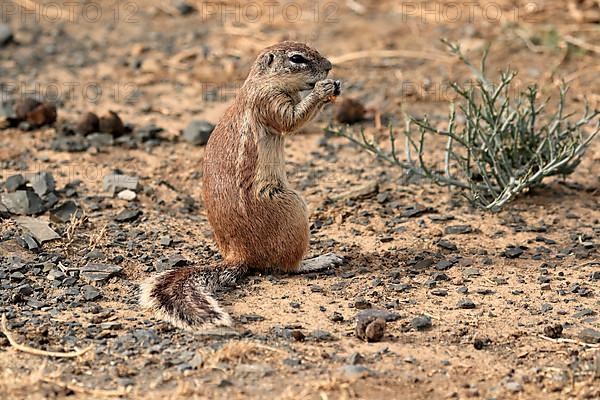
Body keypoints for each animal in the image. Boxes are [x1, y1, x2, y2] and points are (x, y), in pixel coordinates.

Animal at [140, 41, 342, 332]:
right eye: (297, 58)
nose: (329, 67)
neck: (261, 81)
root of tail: (239, 255)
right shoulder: (268, 102)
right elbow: (291, 120)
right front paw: (323, 90)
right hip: (290, 206)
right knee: (287, 266)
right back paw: (318, 260)